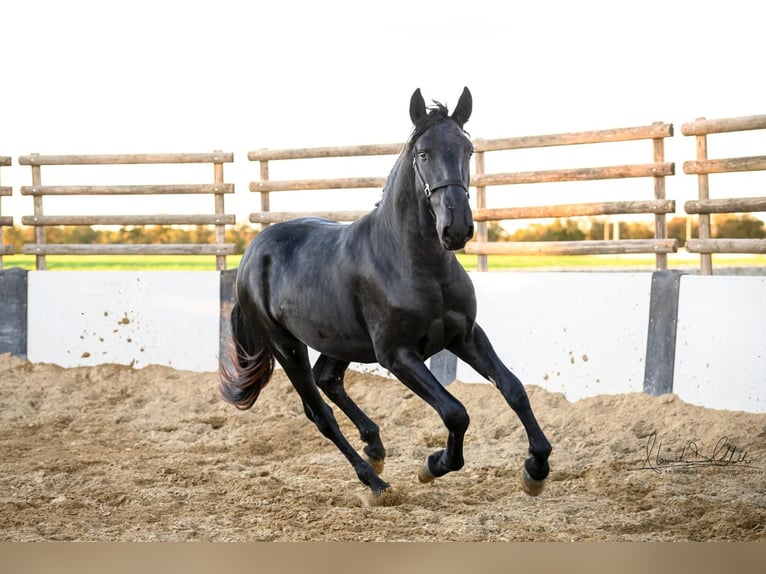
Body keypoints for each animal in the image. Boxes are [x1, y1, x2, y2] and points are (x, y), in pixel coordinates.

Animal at [222, 88, 552, 498]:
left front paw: (536, 468)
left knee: (327, 378)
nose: (456, 228)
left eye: (467, 150)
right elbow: (455, 412)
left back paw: (375, 447)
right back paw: (375, 481)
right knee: (319, 412)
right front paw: (434, 464)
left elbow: (513, 388)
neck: (414, 264)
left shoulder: (465, 335)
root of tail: (253, 252)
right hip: (286, 346)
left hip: (339, 341)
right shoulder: (397, 355)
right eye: (423, 154)